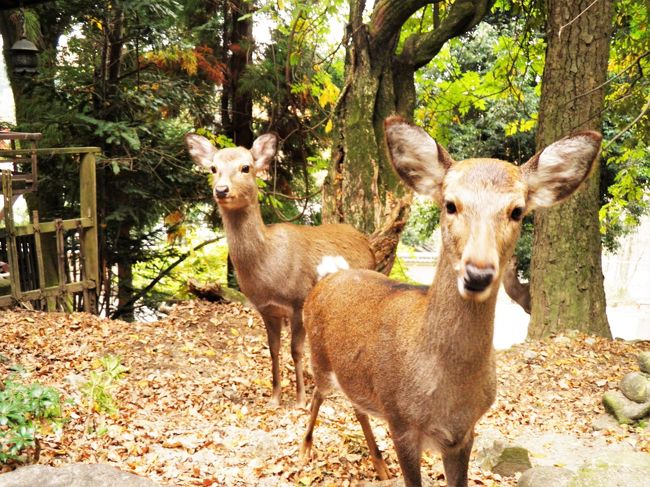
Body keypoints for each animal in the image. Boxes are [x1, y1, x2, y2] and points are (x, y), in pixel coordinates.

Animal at [182, 132, 374, 408]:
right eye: (213, 168)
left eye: (246, 167)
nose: (221, 190)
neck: (270, 267)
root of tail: (367, 242)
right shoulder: (266, 309)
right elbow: (273, 349)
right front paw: (274, 398)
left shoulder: (298, 301)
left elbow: (296, 350)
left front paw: (300, 400)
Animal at [298, 116, 596, 487]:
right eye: (450, 204)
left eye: (517, 211)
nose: (478, 273)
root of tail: (327, 276)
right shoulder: (400, 421)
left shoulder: (464, 434)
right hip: (319, 358)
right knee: (317, 394)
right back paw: (306, 449)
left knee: (356, 405)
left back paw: (379, 465)